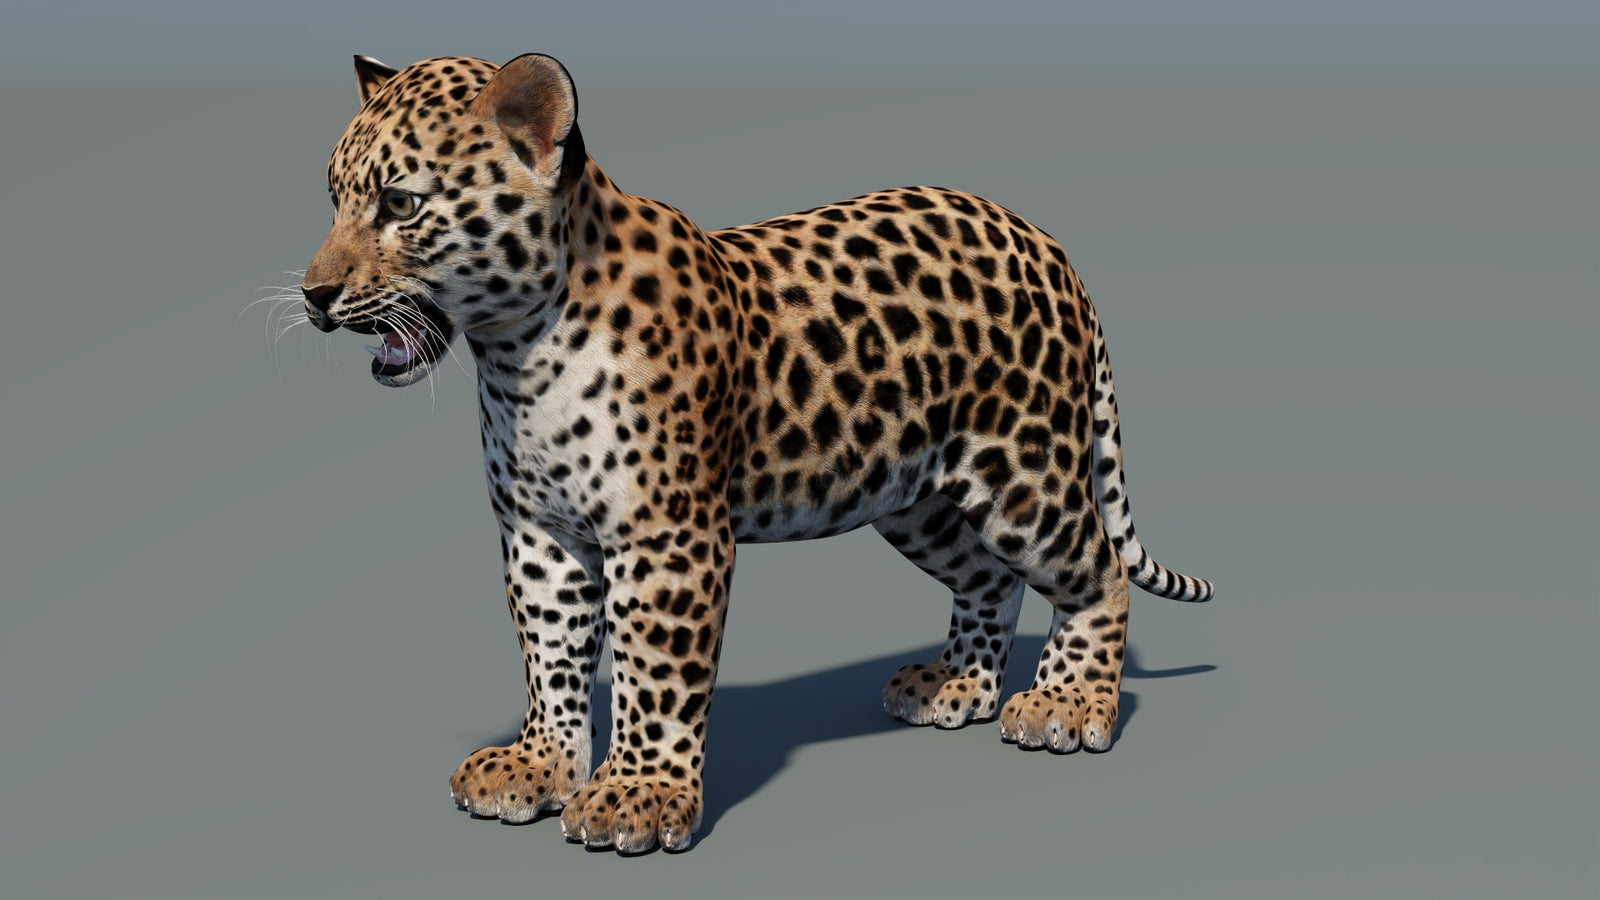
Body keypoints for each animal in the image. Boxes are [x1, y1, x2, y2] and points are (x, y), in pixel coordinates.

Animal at [297, 52, 1214, 854]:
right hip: (915, 498)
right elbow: (551, 654)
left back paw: (1068, 704)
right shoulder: (540, 533)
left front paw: (637, 797)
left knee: (1097, 570)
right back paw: (957, 684)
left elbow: (655, 671)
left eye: (401, 204)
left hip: (1022, 470)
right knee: (990, 579)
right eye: (335, 200)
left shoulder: (669, 537)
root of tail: (1044, 240)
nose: (314, 296)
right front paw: (540, 765)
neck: (519, 353)